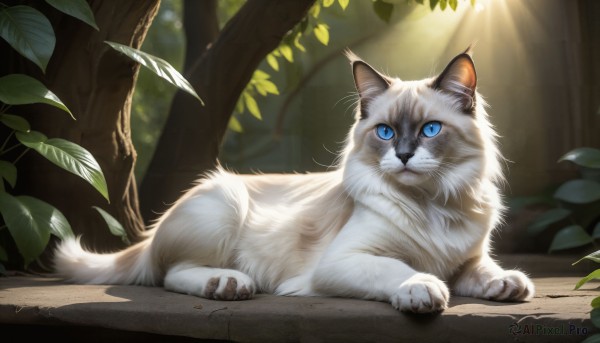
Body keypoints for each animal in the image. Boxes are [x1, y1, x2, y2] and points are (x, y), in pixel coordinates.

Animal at [55, 48, 536, 314]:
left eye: (430, 130)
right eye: (385, 132)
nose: (402, 155)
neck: (433, 205)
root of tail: (148, 236)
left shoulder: (467, 260)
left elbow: (485, 271)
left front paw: (507, 285)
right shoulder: (345, 260)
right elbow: (400, 269)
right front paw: (422, 289)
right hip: (224, 203)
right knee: (170, 274)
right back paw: (229, 284)